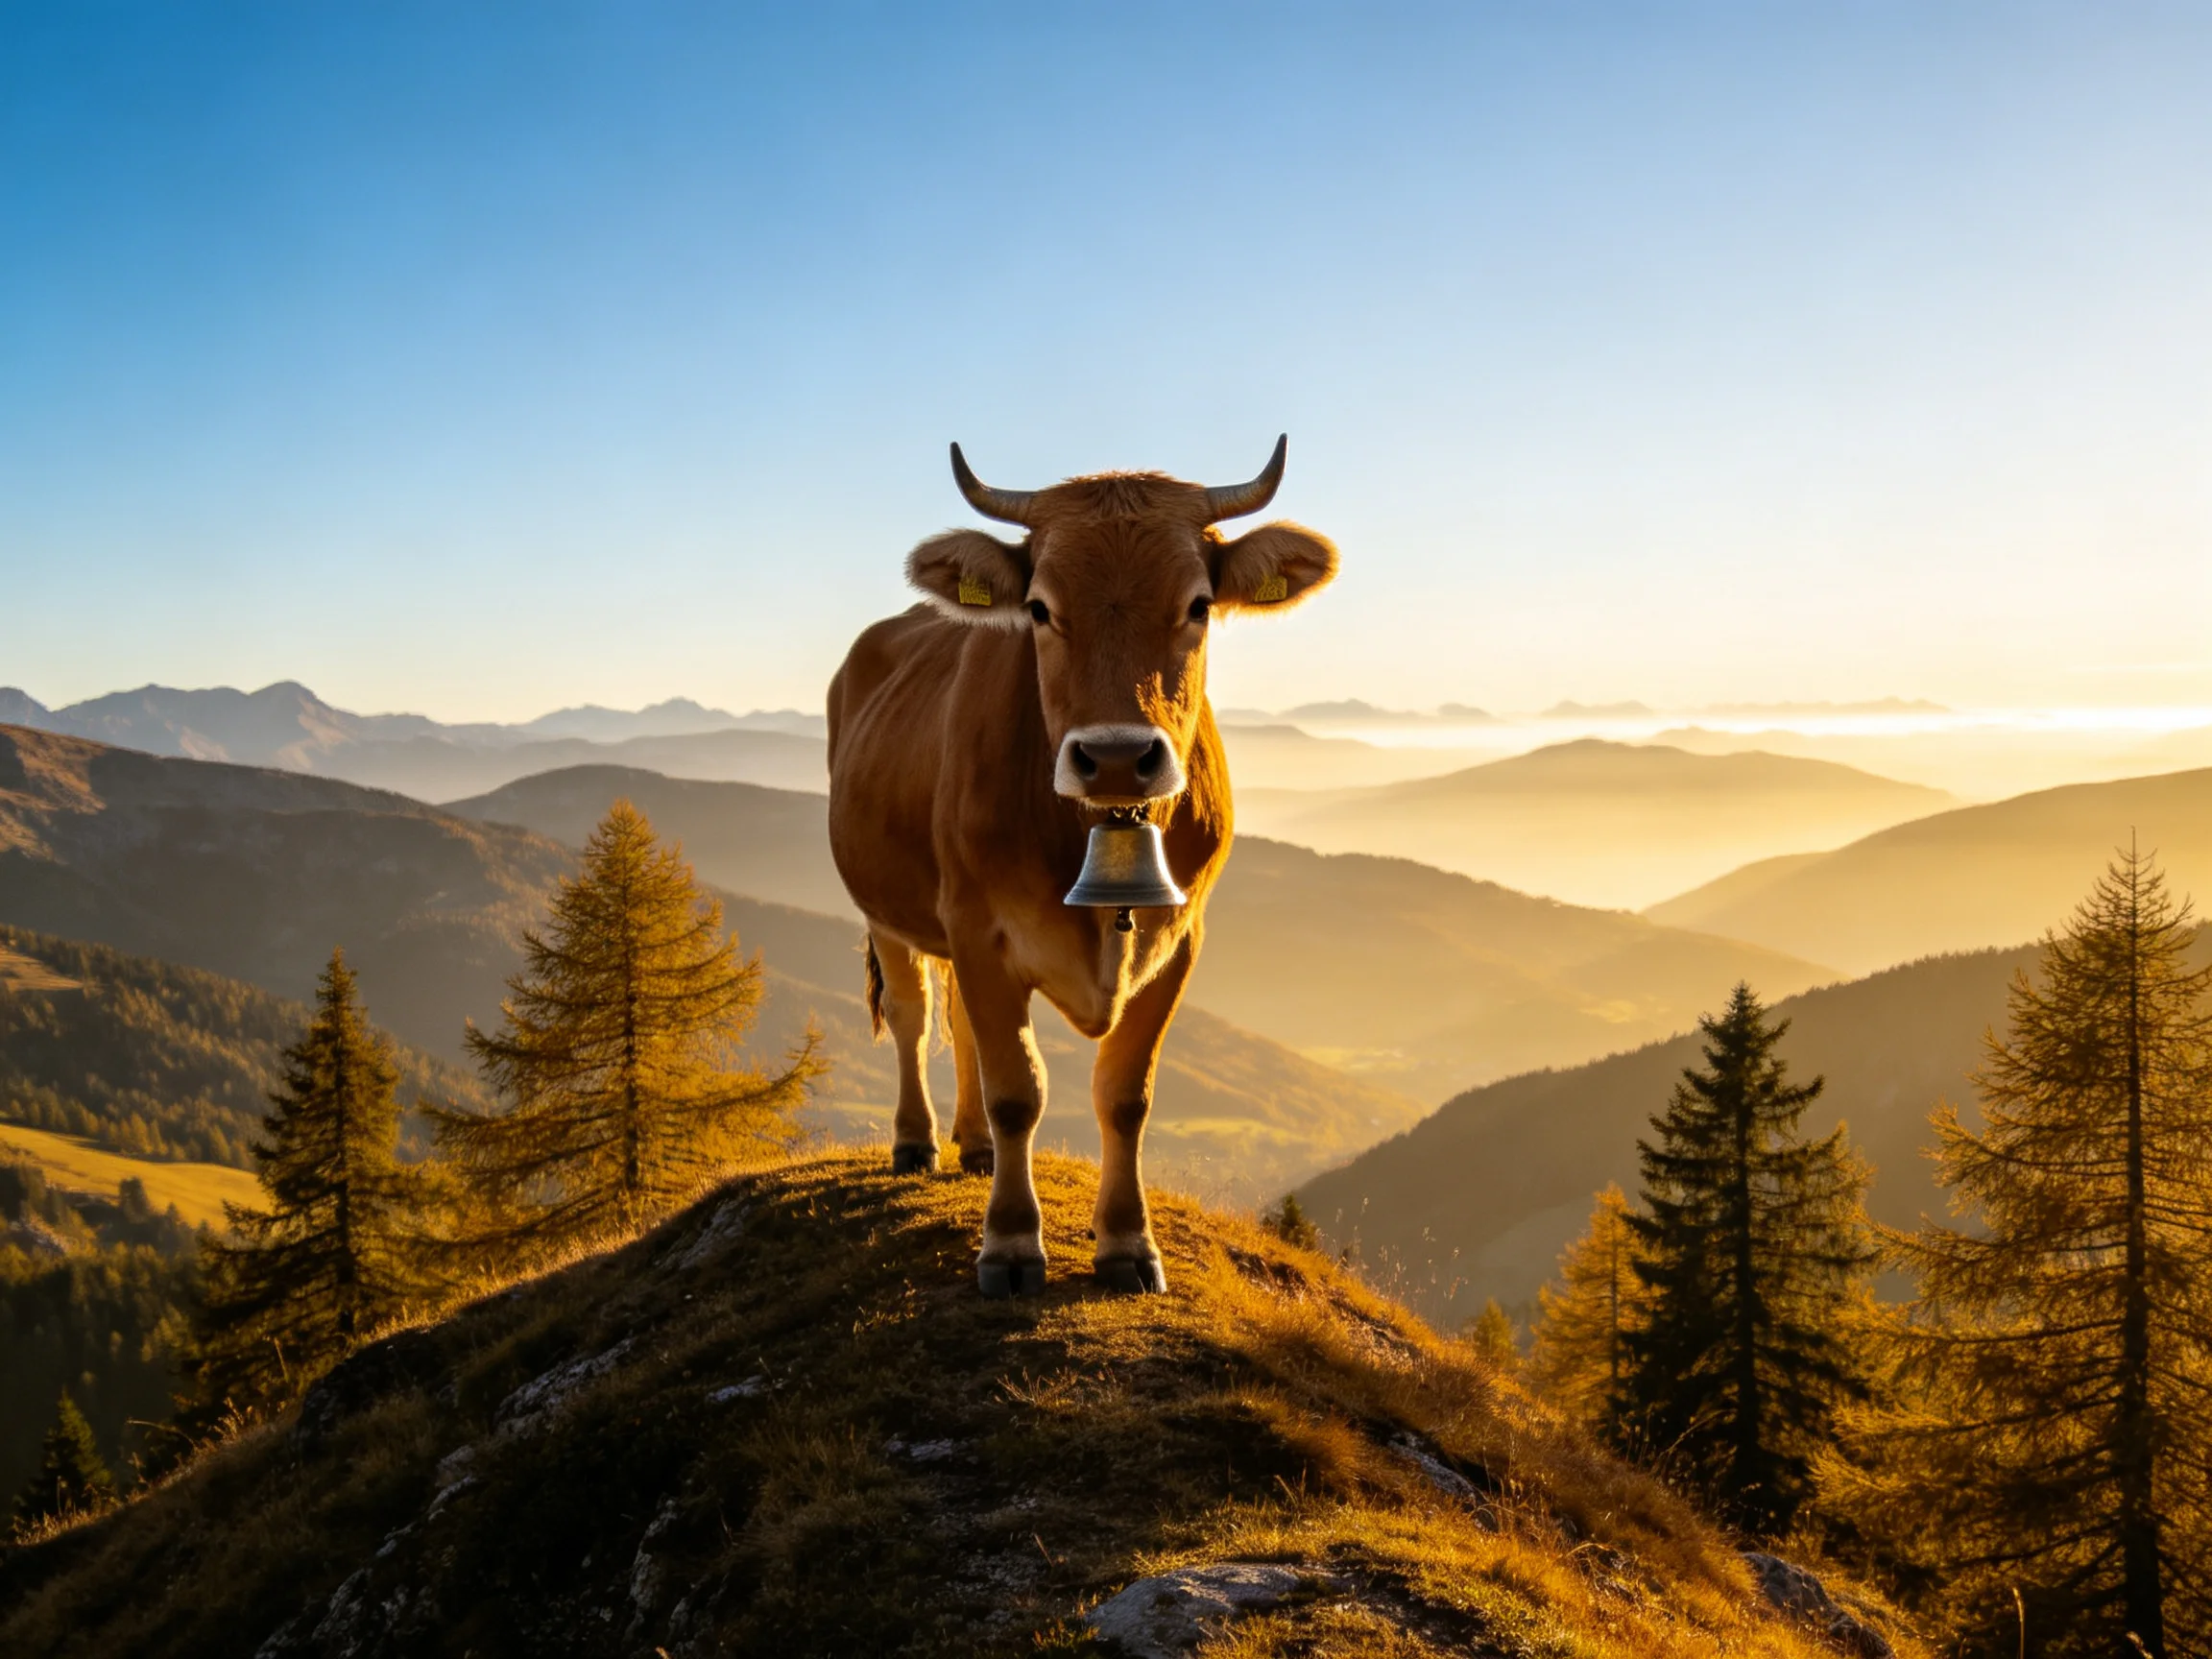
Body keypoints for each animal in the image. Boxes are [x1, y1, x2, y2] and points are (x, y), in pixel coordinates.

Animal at [825, 437, 1338, 1297]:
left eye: (1199, 605)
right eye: (1039, 608)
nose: (1118, 758)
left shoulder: (1180, 937)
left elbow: (1125, 1094)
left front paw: (1128, 1243)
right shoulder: (979, 927)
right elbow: (1017, 1090)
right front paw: (1009, 1245)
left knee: (958, 1024)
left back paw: (974, 1148)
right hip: (884, 908)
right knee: (913, 1014)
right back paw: (917, 1141)